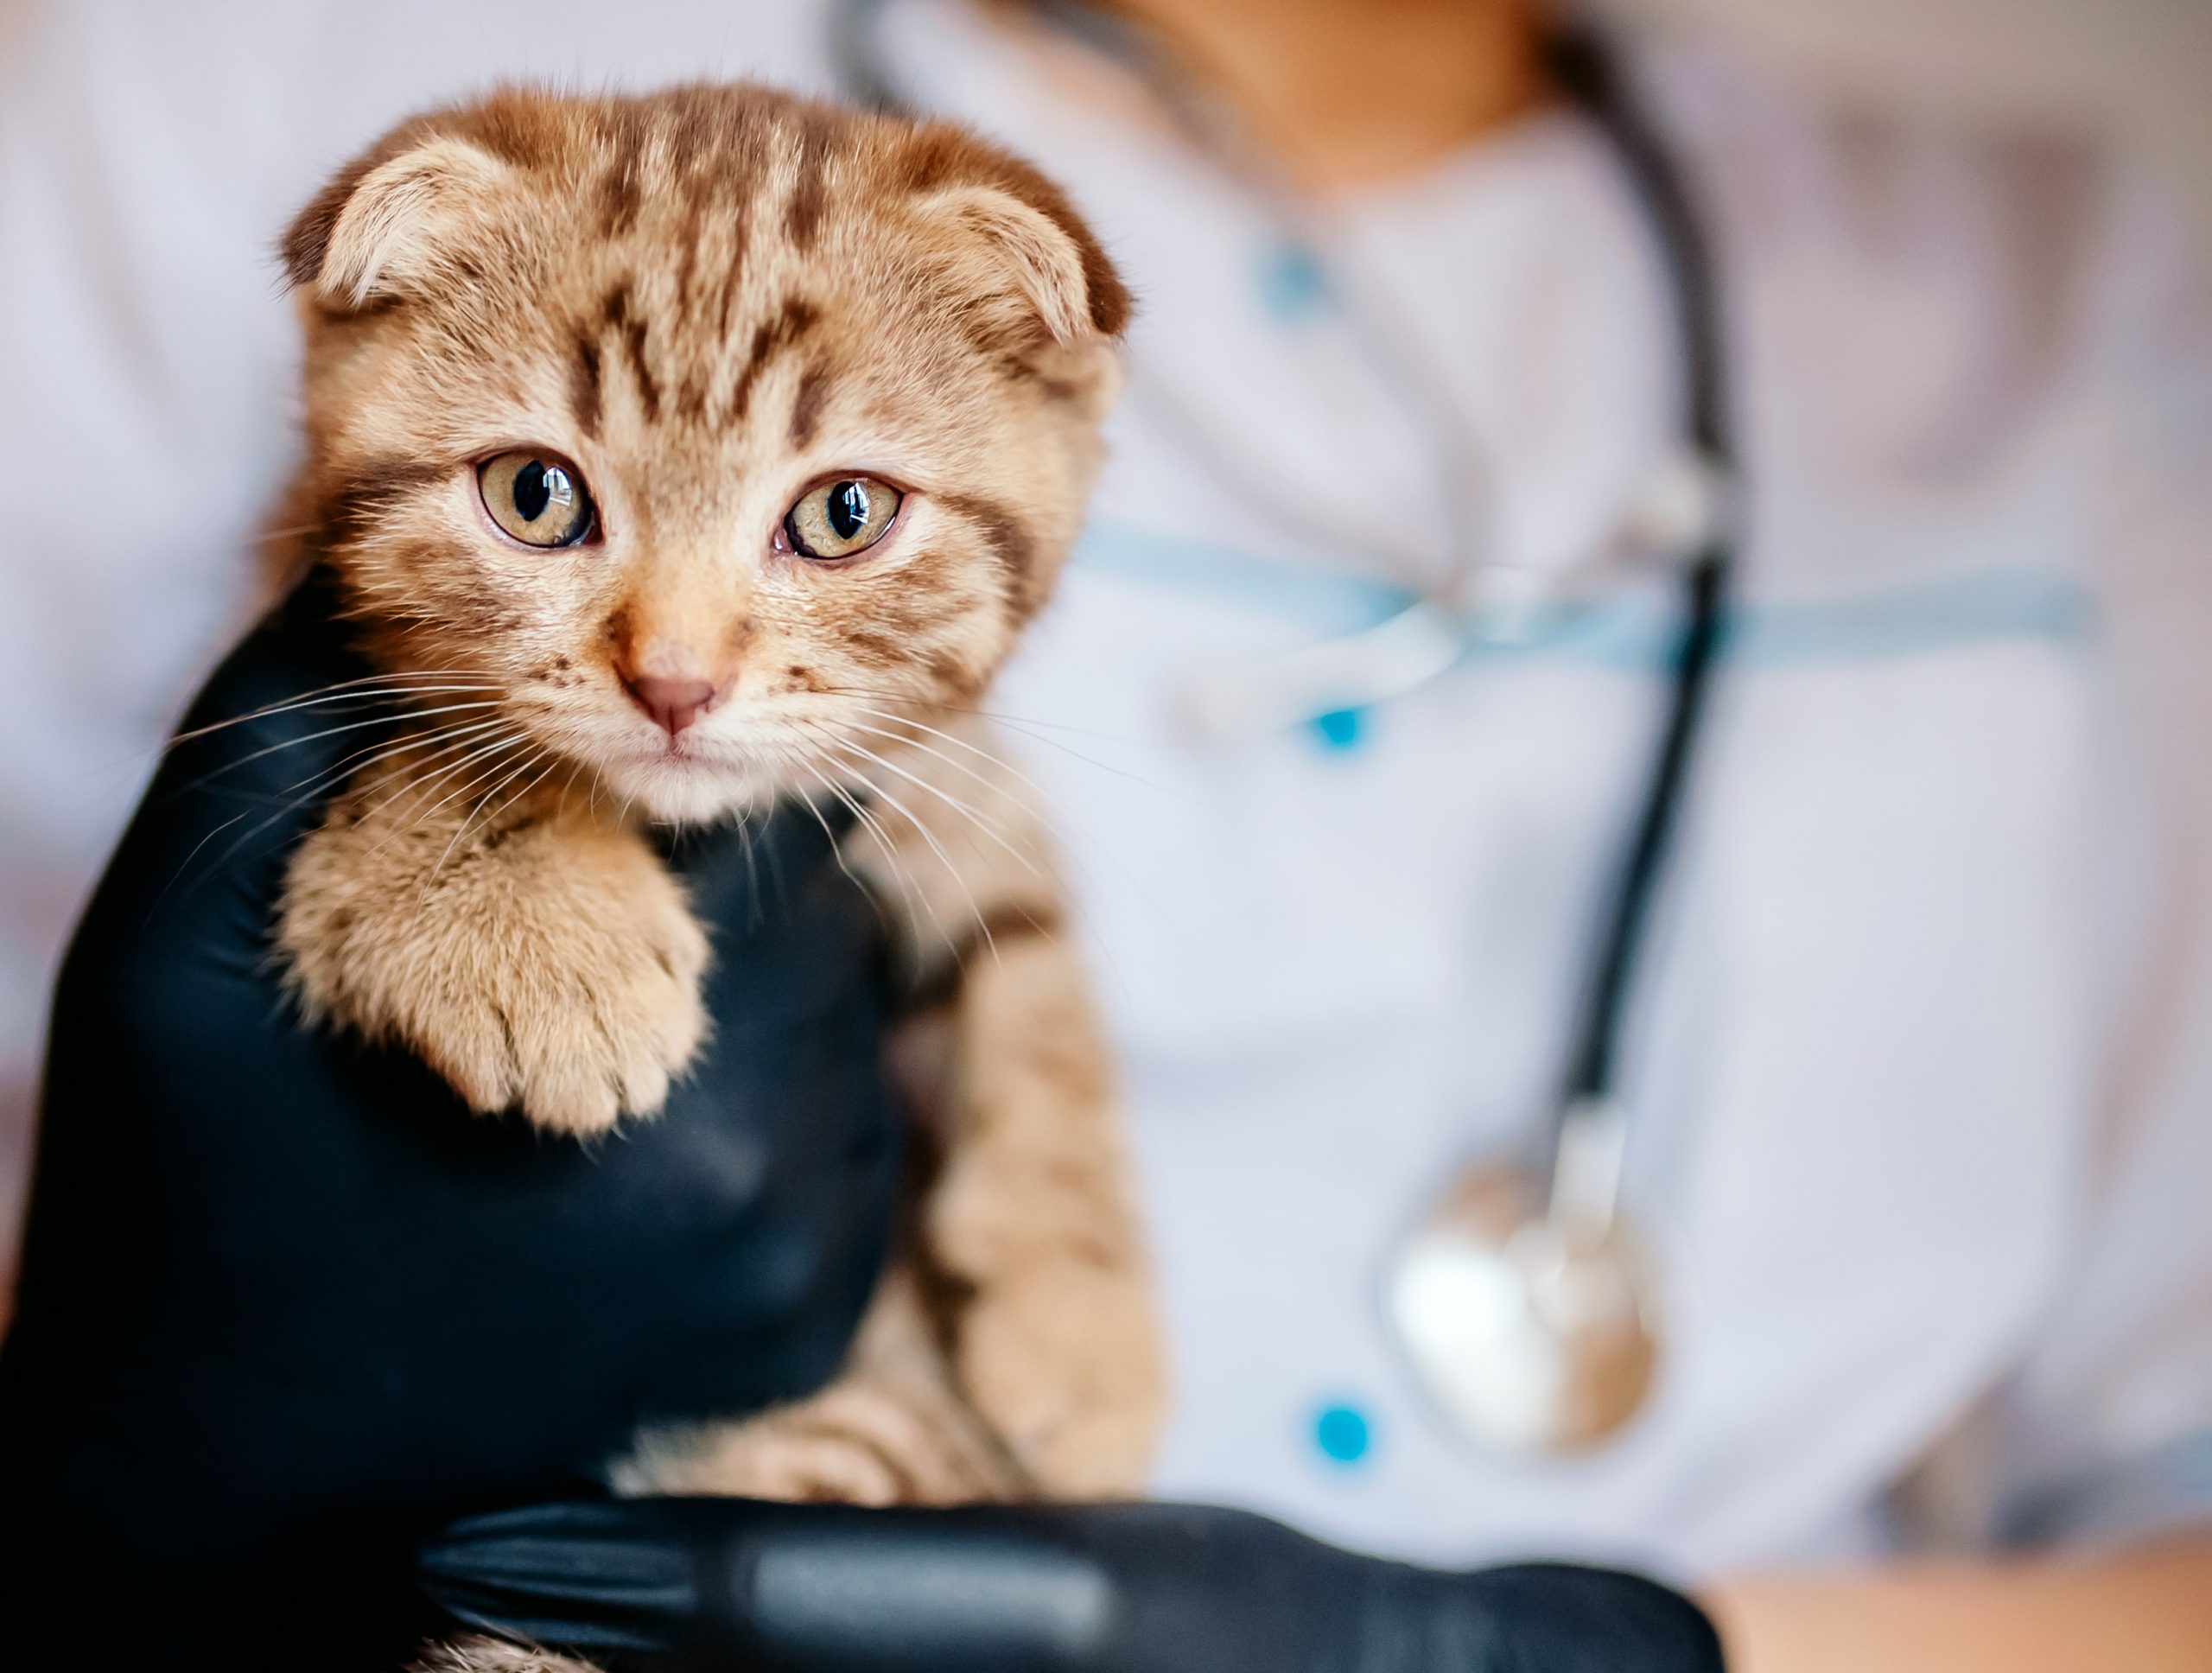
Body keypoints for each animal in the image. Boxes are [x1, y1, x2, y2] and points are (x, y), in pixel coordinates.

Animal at [267, 78, 1167, 1593]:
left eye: (844, 513)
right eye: (535, 496)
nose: (675, 683)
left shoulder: (945, 779)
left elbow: (1031, 962)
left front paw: (1084, 1329)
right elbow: (456, 741)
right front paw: (543, 942)